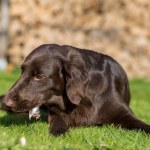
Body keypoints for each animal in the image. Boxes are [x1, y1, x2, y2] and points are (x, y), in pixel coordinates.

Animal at [1, 44, 150, 135]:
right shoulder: (56, 114)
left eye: (39, 76)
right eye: (22, 71)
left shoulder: (124, 113)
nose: (6, 102)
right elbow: (58, 124)